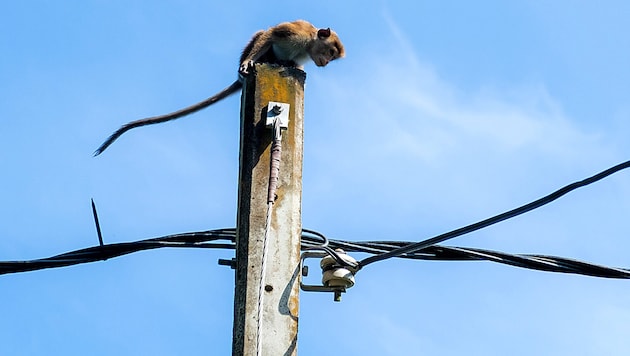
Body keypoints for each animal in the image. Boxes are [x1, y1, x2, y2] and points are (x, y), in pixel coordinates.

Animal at [92, 19, 346, 156]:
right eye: (329, 52)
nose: (325, 63)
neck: (308, 44)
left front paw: (297, 67)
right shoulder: (295, 33)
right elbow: (270, 34)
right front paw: (248, 62)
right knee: (262, 37)